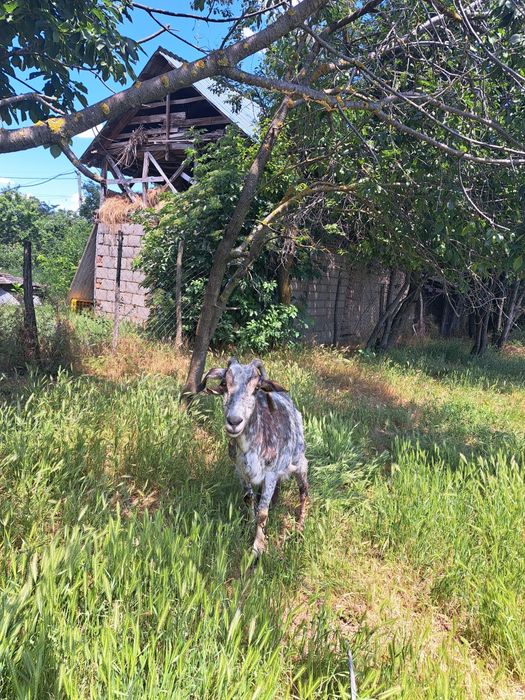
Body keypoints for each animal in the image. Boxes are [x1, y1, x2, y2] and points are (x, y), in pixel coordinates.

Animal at [200, 357, 308, 554]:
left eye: (256, 388)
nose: (234, 421)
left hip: (300, 464)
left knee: (304, 492)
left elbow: (263, 512)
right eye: (224, 384)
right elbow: (249, 500)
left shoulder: (271, 473)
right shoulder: (241, 472)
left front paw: (258, 547)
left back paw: (299, 527)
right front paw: (249, 526)